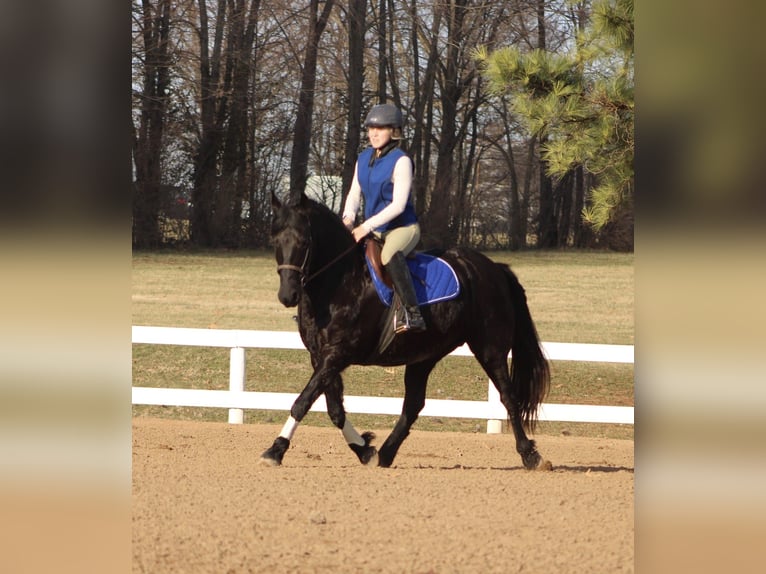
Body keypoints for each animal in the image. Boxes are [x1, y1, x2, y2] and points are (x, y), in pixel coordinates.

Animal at [261, 192, 552, 470]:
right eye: (275, 241)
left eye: (303, 242)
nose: (288, 295)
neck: (340, 282)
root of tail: (493, 268)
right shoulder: (321, 356)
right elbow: (335, 410)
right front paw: (364, 450)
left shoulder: (337, 354)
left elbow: (303, 402)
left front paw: (276, 450)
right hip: (424, 355)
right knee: (413, 405)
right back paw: (386, 453)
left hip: (490, 349)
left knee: (508, 397)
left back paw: (531, 456)